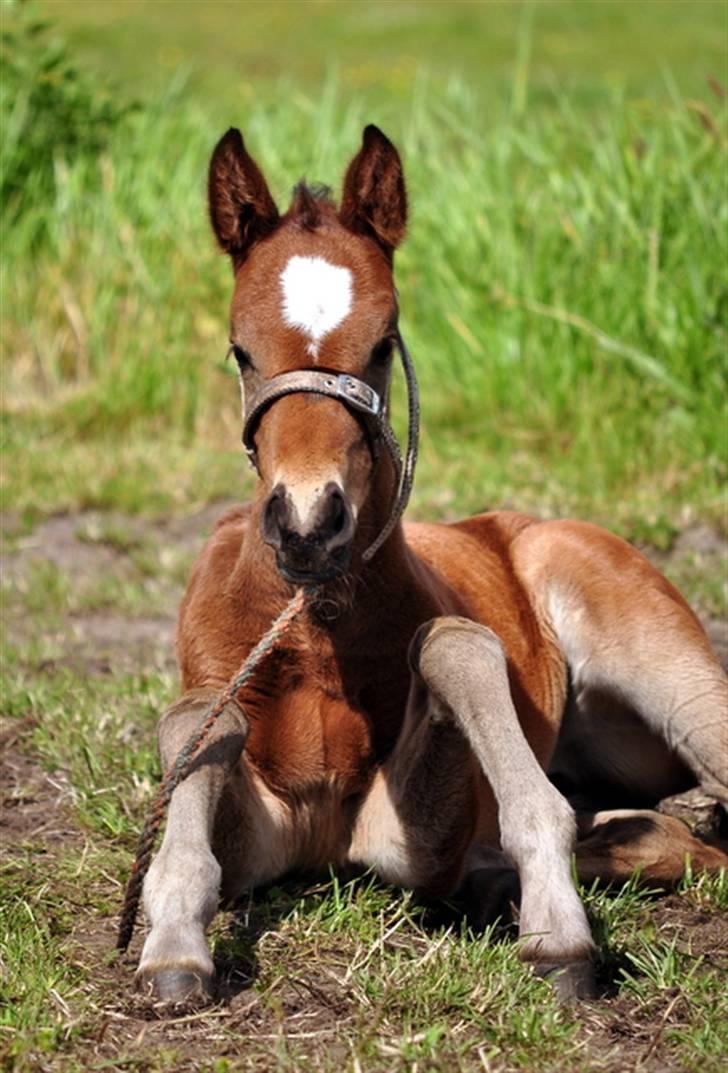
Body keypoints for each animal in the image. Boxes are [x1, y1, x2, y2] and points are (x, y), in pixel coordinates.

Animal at [135, 125, 725, 1004]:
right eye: (241, 350)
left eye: (383, 344)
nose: (307, 522)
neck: (317, 626)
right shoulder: (261, 829)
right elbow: (198, 723)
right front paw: (172, 943)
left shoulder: (414, 837)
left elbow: (454, 644)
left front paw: (557, 928)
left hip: (677, 681)